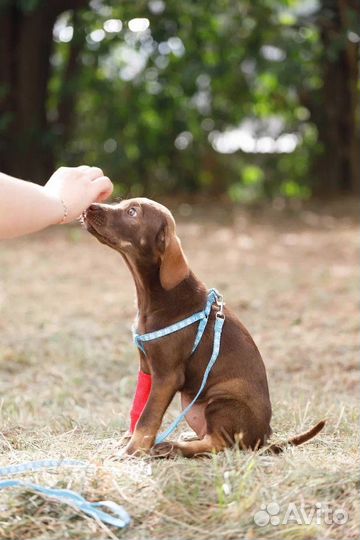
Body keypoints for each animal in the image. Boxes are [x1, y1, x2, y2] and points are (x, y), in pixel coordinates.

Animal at [83, 198, 324, 456]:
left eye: (132, 212)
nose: (90, 206)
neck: (154, 296)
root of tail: (262, 439)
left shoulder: (167, 375)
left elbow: (148, 416)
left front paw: (133, 451)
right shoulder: (146, 366)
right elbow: (139, 408)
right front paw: (127, 441)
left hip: (221, 401)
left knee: (219, 444)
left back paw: (172, 446)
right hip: (191, 401)